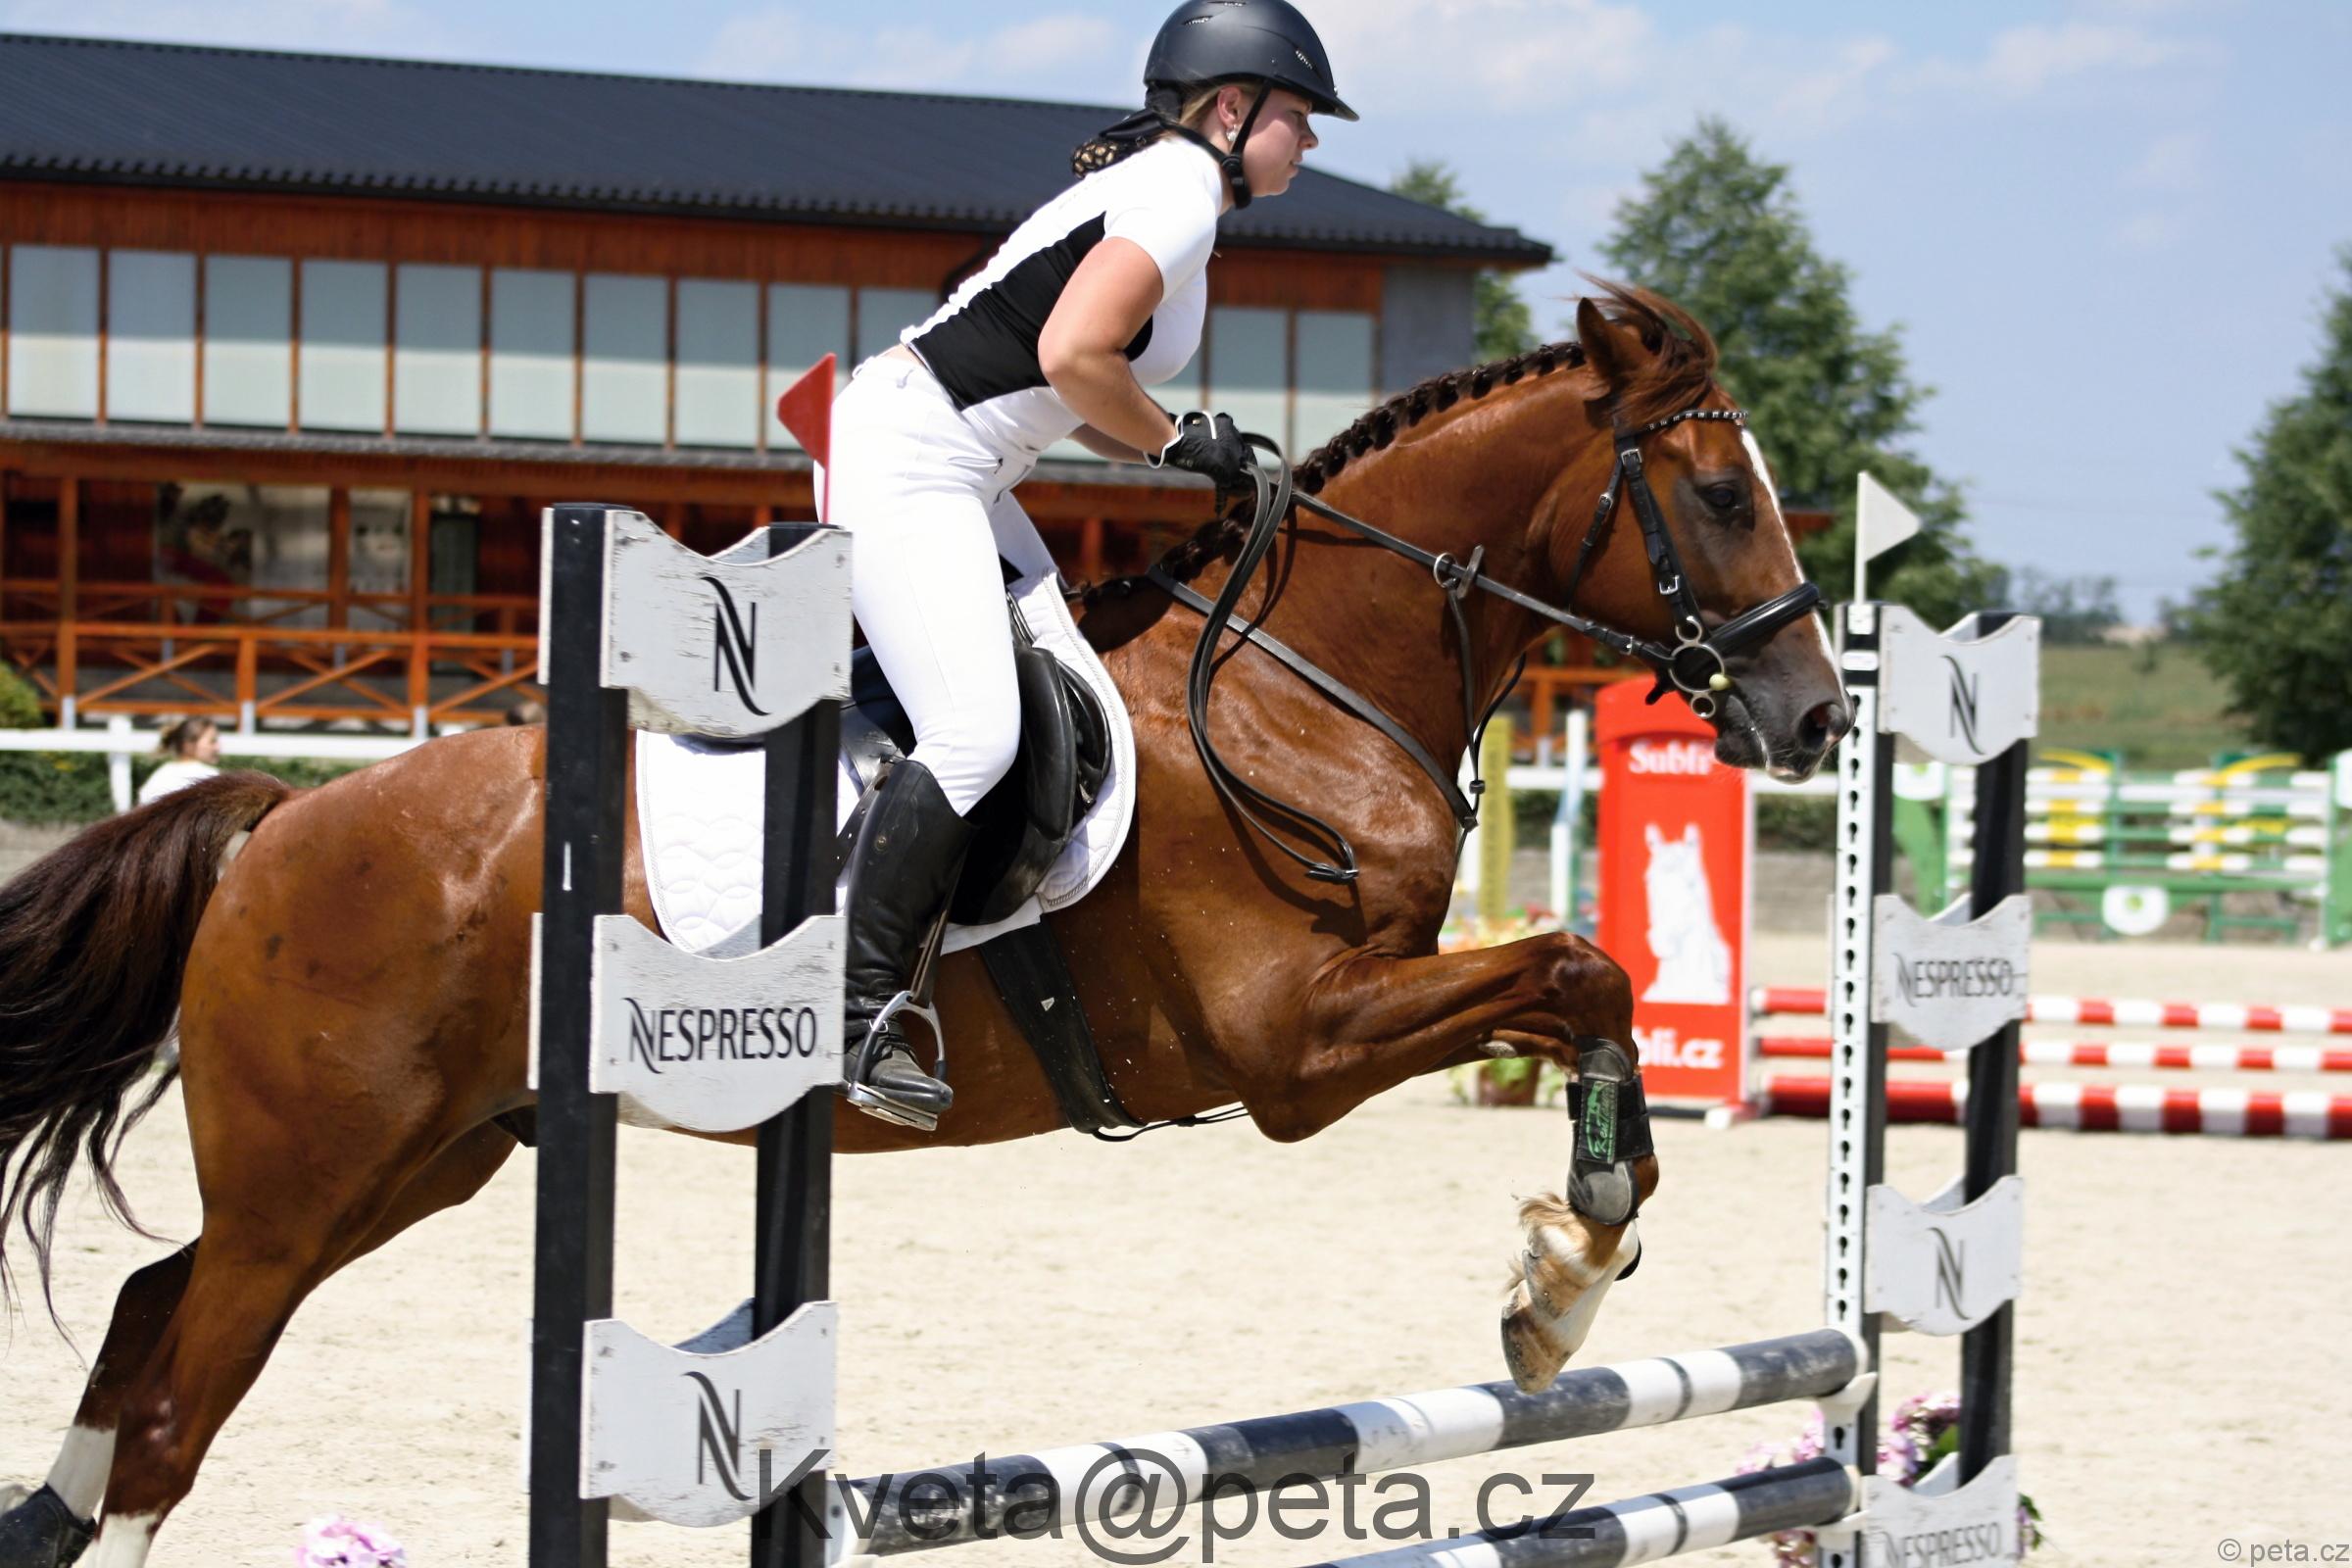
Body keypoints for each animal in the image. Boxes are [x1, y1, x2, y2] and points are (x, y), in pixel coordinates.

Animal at [0, 284, 1848, 1567]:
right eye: (1720, 494)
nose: (1818, 717)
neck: (1297, 689)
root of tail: (280, 819)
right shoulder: (1296, 1045)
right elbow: (1576, 963)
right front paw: (1567, 1269)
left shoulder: (1366, 1003)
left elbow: (1585, 987)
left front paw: (1573, 1261)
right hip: (315, 1178)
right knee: (173, 1402)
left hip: (418, 1162)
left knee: (150, 1303)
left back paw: (47, 1516)